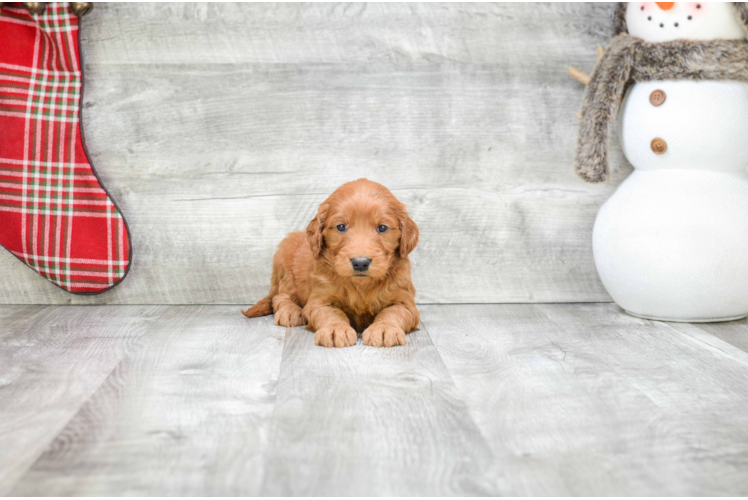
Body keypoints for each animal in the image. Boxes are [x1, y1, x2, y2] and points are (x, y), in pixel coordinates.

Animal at [245, 180, 420, 348]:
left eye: (382, 227)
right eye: (341, 227)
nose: (360, 263)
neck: (360, 286)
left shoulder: (405, 301)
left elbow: (393, 312)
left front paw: (384, 328)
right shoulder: (319, 300)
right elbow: (332, 313)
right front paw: (336, 329)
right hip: (285, 263)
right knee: (280, 296)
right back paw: (290, 312)